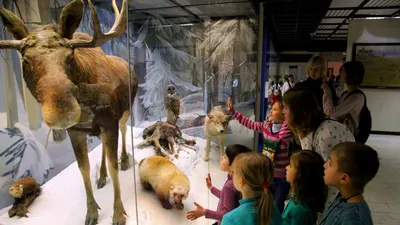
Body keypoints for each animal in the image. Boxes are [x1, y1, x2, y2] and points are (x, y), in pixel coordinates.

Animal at [0, 0, 138, 225]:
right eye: (25, 59)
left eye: (70, 56)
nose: (62, 113)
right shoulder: (76, 131)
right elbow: (84, 169)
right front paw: (91, 213)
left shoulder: (109, 122)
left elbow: (113, 165)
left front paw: (118, 214)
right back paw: (101, 176)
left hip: (126, 109)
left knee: (125, 128)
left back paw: (125, 160)